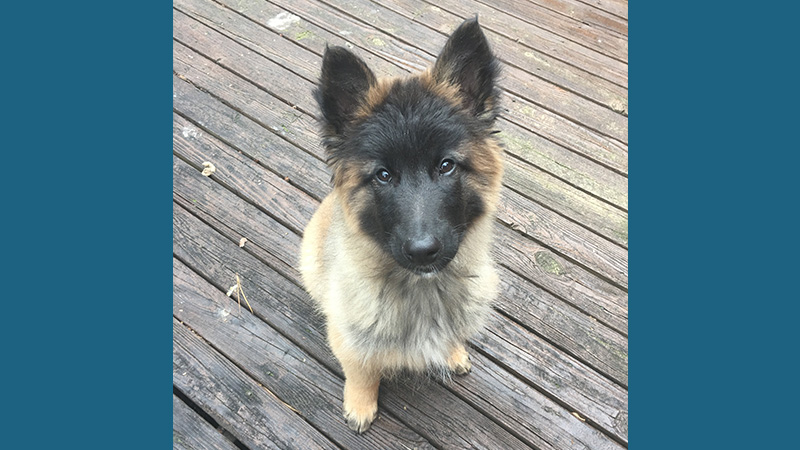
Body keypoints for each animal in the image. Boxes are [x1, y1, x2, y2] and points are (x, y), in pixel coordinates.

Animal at [300, 17, 506, 432]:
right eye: (383, 175)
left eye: (446, 165)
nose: (423, 251)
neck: (423, 289)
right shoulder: (350, 336)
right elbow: (361, 370)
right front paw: (360, 403)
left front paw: (453, 352)